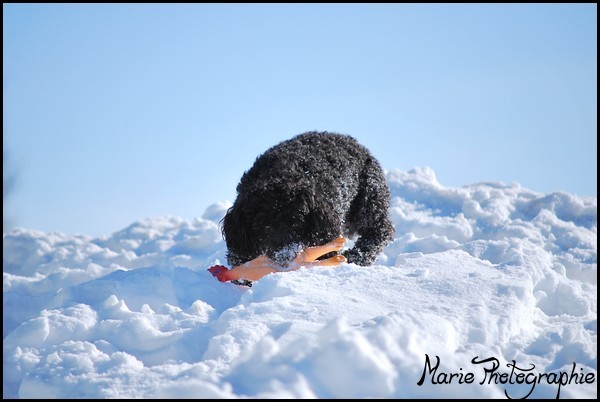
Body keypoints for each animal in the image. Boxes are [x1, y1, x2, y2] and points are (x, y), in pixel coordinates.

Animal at [220, 132, 394, 268]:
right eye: (263, 226)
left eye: (296, 224)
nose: (284, 255)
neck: (278, 175)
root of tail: (355, 142)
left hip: (367, 200)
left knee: (381, 230)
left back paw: (356, 256)